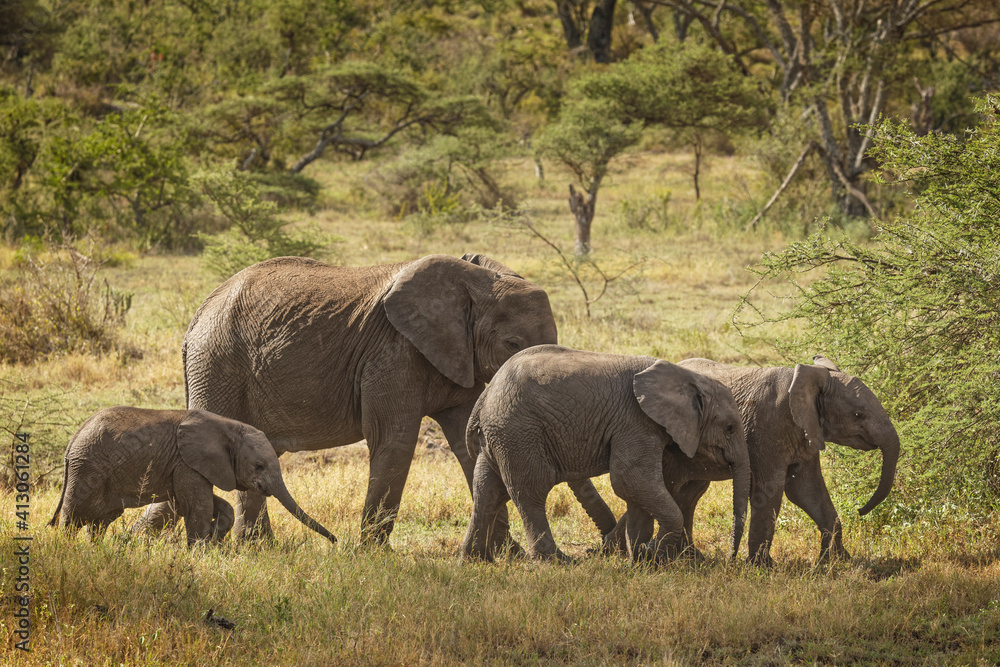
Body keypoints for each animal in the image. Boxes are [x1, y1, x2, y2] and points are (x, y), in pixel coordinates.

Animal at [49, 407, 336, 546]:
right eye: (259, 466)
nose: (336, 541)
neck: (228, 427)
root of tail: (72, 440)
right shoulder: (187, 463)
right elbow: (199, 505)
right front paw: (201, 549)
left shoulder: (192, 465)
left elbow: (211, 504)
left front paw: (215, 537)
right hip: (87, 469)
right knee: (75, 516)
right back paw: (66, 551)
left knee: (102, 519)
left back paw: (94, 550)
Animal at [139, 253, 558, 546]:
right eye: (512, 344)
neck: (476, 278)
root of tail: (195, 320)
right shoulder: (393, 350)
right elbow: (394, 439)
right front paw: (372, 555)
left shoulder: (459, 355)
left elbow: (468, 445)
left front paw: (504, 553)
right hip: (217, 363)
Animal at [460, 345, 751, 563]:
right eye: (729, 428)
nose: (731, 559)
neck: (686, 376)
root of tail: (485, 396)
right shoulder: (636, 421)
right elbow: (629, 480)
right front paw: (651, 553)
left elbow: (636, 489)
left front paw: (640, 559)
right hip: (519, 432)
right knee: (530, 491)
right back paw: (557, 561)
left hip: (500, 437)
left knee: (488, 491)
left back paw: (477, 560)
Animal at [586, 356, 900, 565]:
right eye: (858, 415)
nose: (860, 510)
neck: (809, 379)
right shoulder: (769, 428)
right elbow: (770, 493)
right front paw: (761, 567)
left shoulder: (807, 432)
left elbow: (808, 491)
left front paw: (838, 562)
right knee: (668, 489)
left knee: (686, 494)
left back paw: (687, 557)